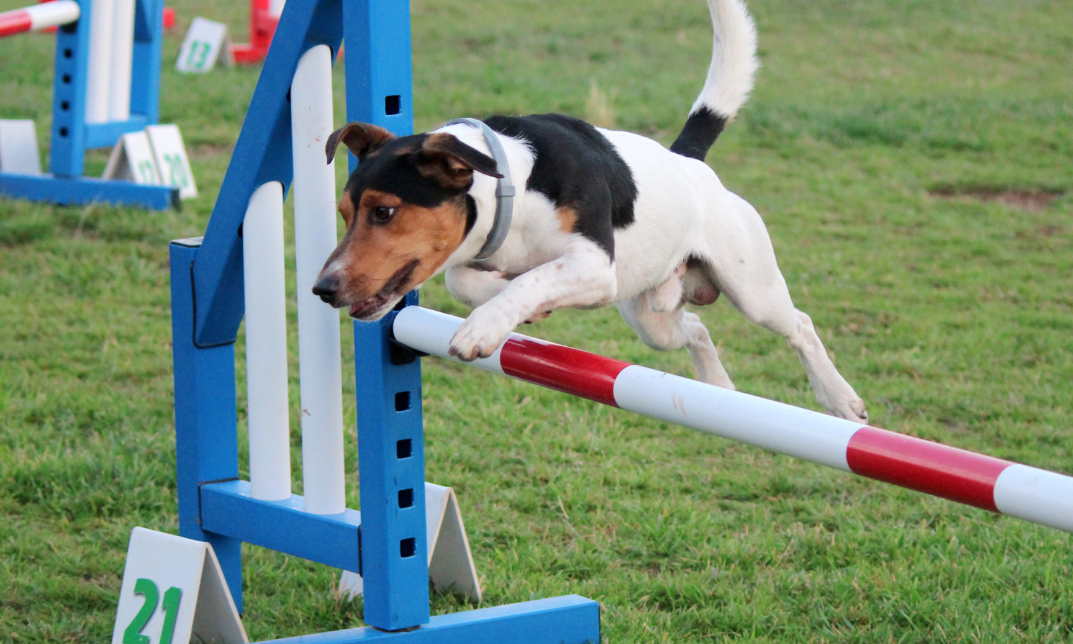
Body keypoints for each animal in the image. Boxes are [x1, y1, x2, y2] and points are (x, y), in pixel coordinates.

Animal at [313, 0, 866, 420]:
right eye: (344, 214)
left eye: (384, 212)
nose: (323, 289)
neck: (513, 183)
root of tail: (687, 162)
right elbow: (469, 280)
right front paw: (509, 301)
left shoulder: (595, 265)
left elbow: (531, 279)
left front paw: (484, 327)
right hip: (651, 319)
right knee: (697, 330)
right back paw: (719, 387)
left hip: (751, 288)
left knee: (800, 325)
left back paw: (841, 399)